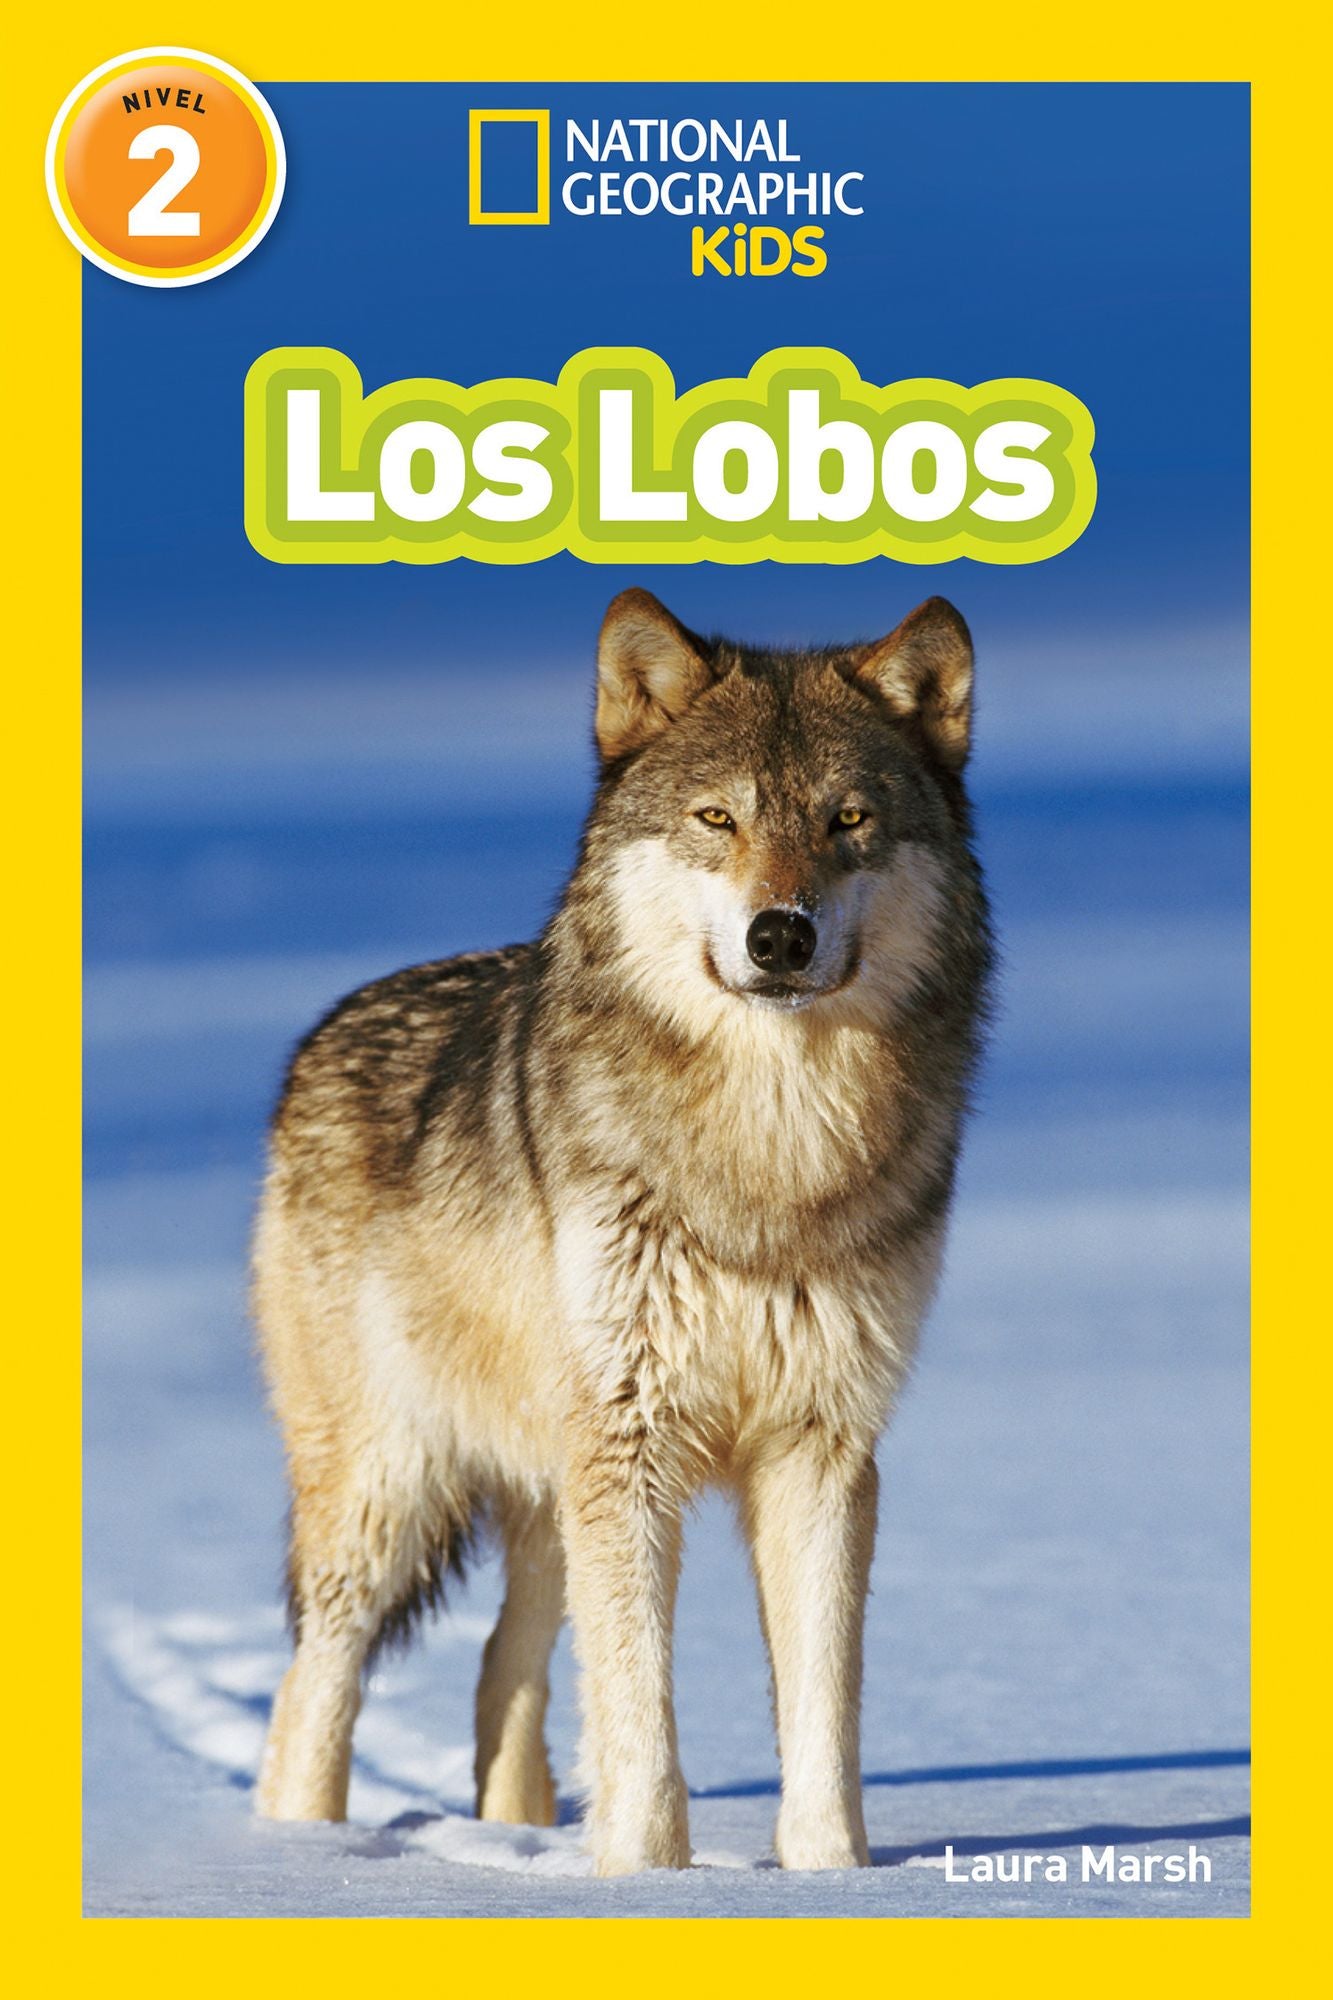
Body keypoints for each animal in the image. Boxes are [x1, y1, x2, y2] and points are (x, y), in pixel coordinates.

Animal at [253, 588, 991, 1875]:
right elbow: (641, 1715)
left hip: (547, 1494)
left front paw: (830, 1876)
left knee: (507, 1667)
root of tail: (323, 1030)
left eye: (848, 819)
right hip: (388, 1491)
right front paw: (646, 1879)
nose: (780, 934)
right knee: (313, 1688)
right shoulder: (632, 1444)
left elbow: (821, 1708)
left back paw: (511, 1835)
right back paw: (299, 1859)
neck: (766, 1152)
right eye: (717, 817)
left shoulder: (818, 1447)